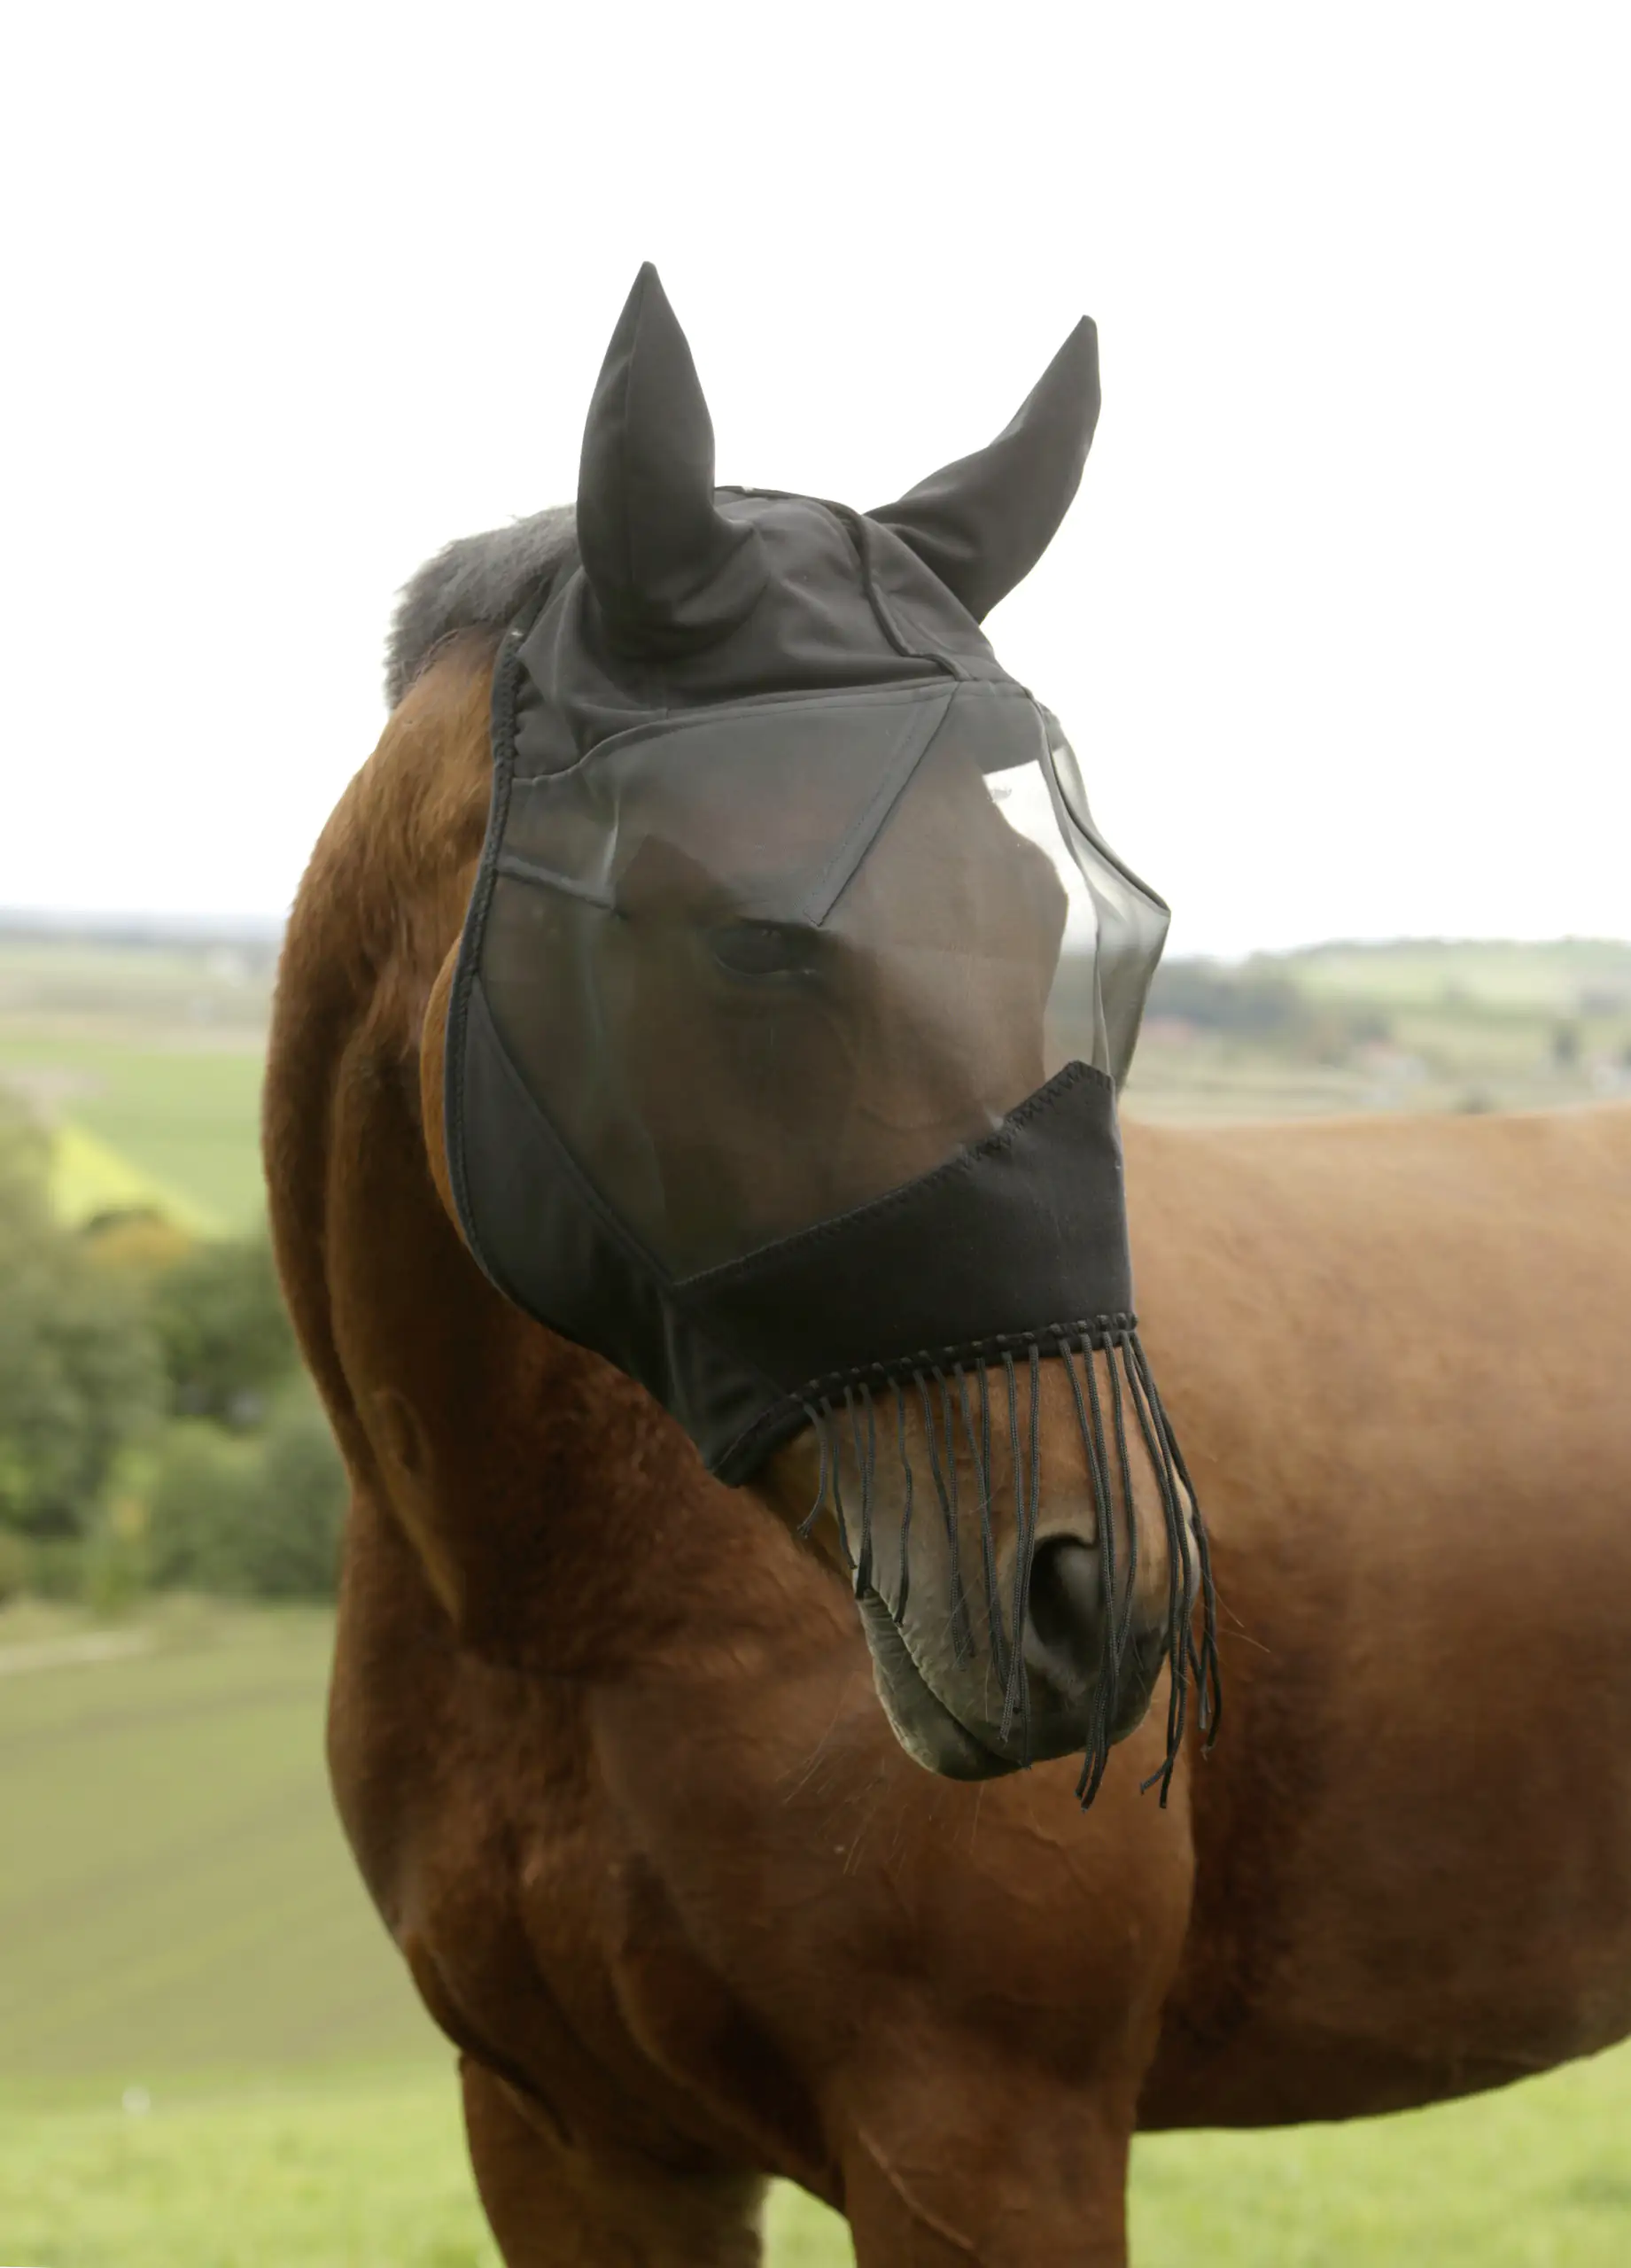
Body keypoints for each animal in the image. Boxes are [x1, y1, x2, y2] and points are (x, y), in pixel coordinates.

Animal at [265, 278, 1631, 2264]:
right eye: (758, 939)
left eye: (1063, 915)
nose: (1101, 1604)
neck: (571, 1614)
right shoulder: (569, 2146)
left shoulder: (984, 2141)